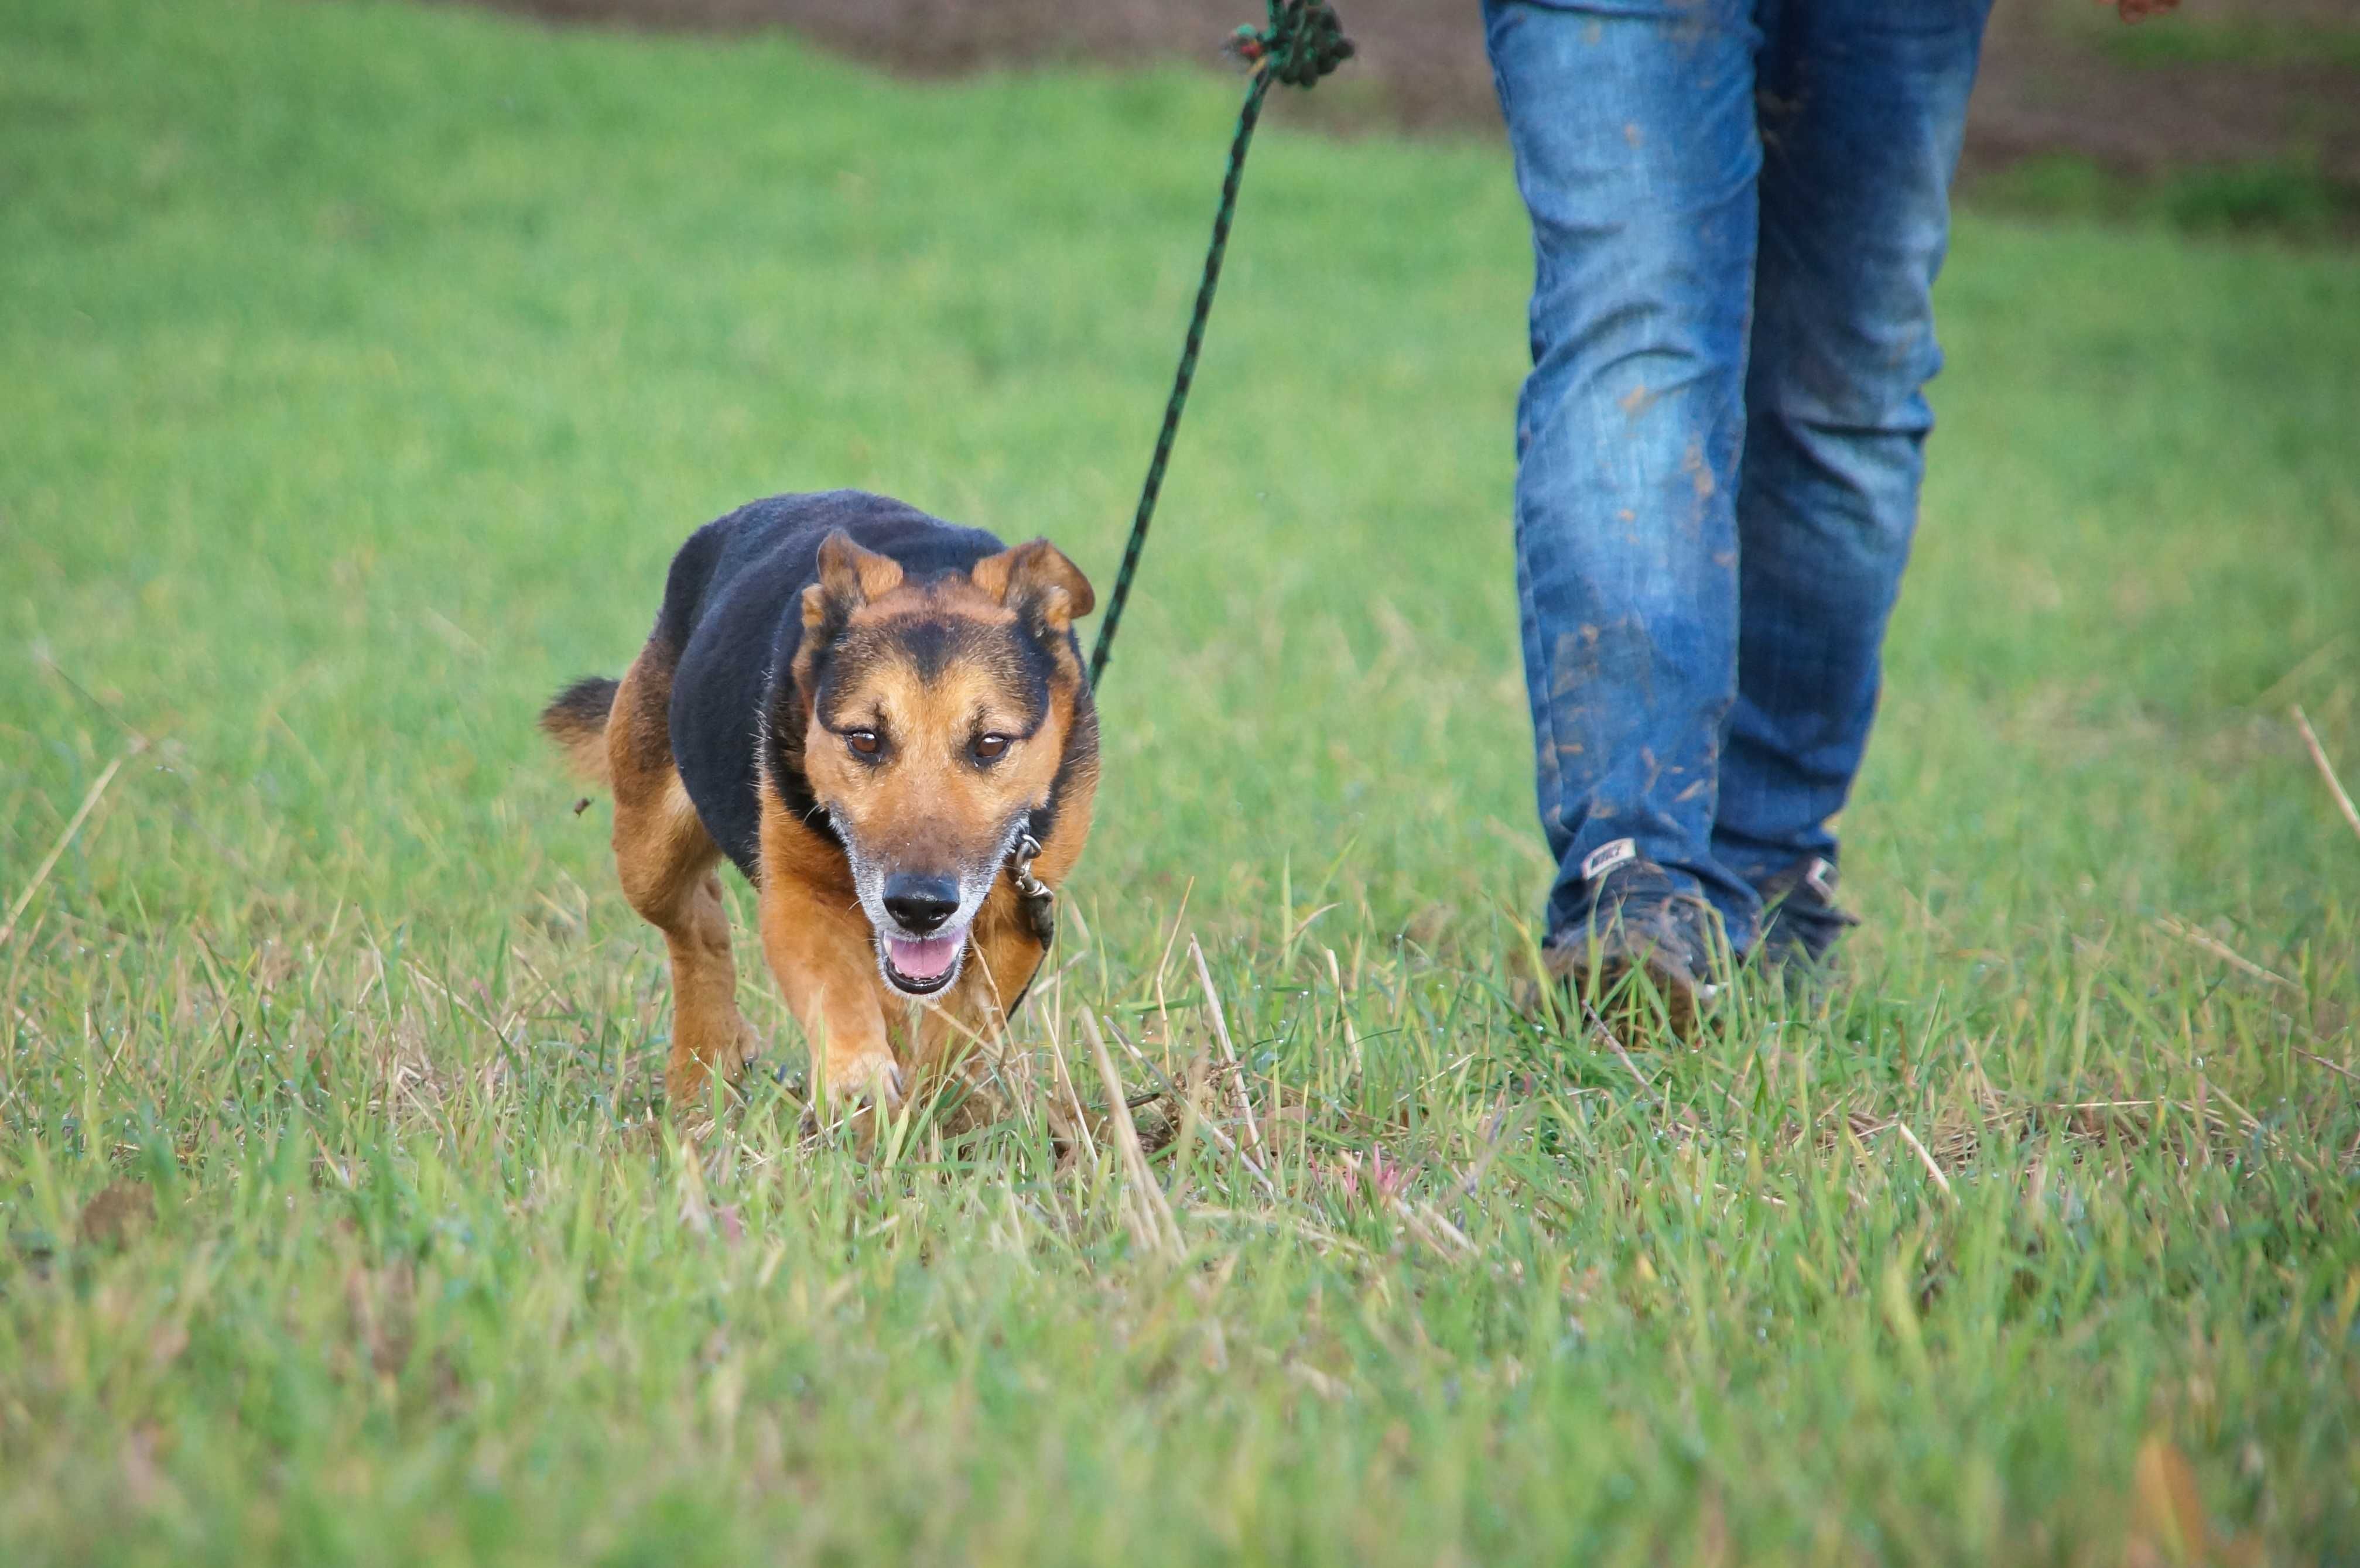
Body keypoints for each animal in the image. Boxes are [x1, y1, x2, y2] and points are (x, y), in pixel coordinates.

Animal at [547, 490, 1099, 1112]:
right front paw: (860, 1081)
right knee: (696, 922)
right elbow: (835, 990)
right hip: (649, 852)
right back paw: (704, 1064)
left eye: (990, 744)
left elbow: (960, 1035)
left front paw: (931, 1109)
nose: (920, 907)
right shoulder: (799, 895)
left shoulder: (1018, 914)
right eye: (864, 739)